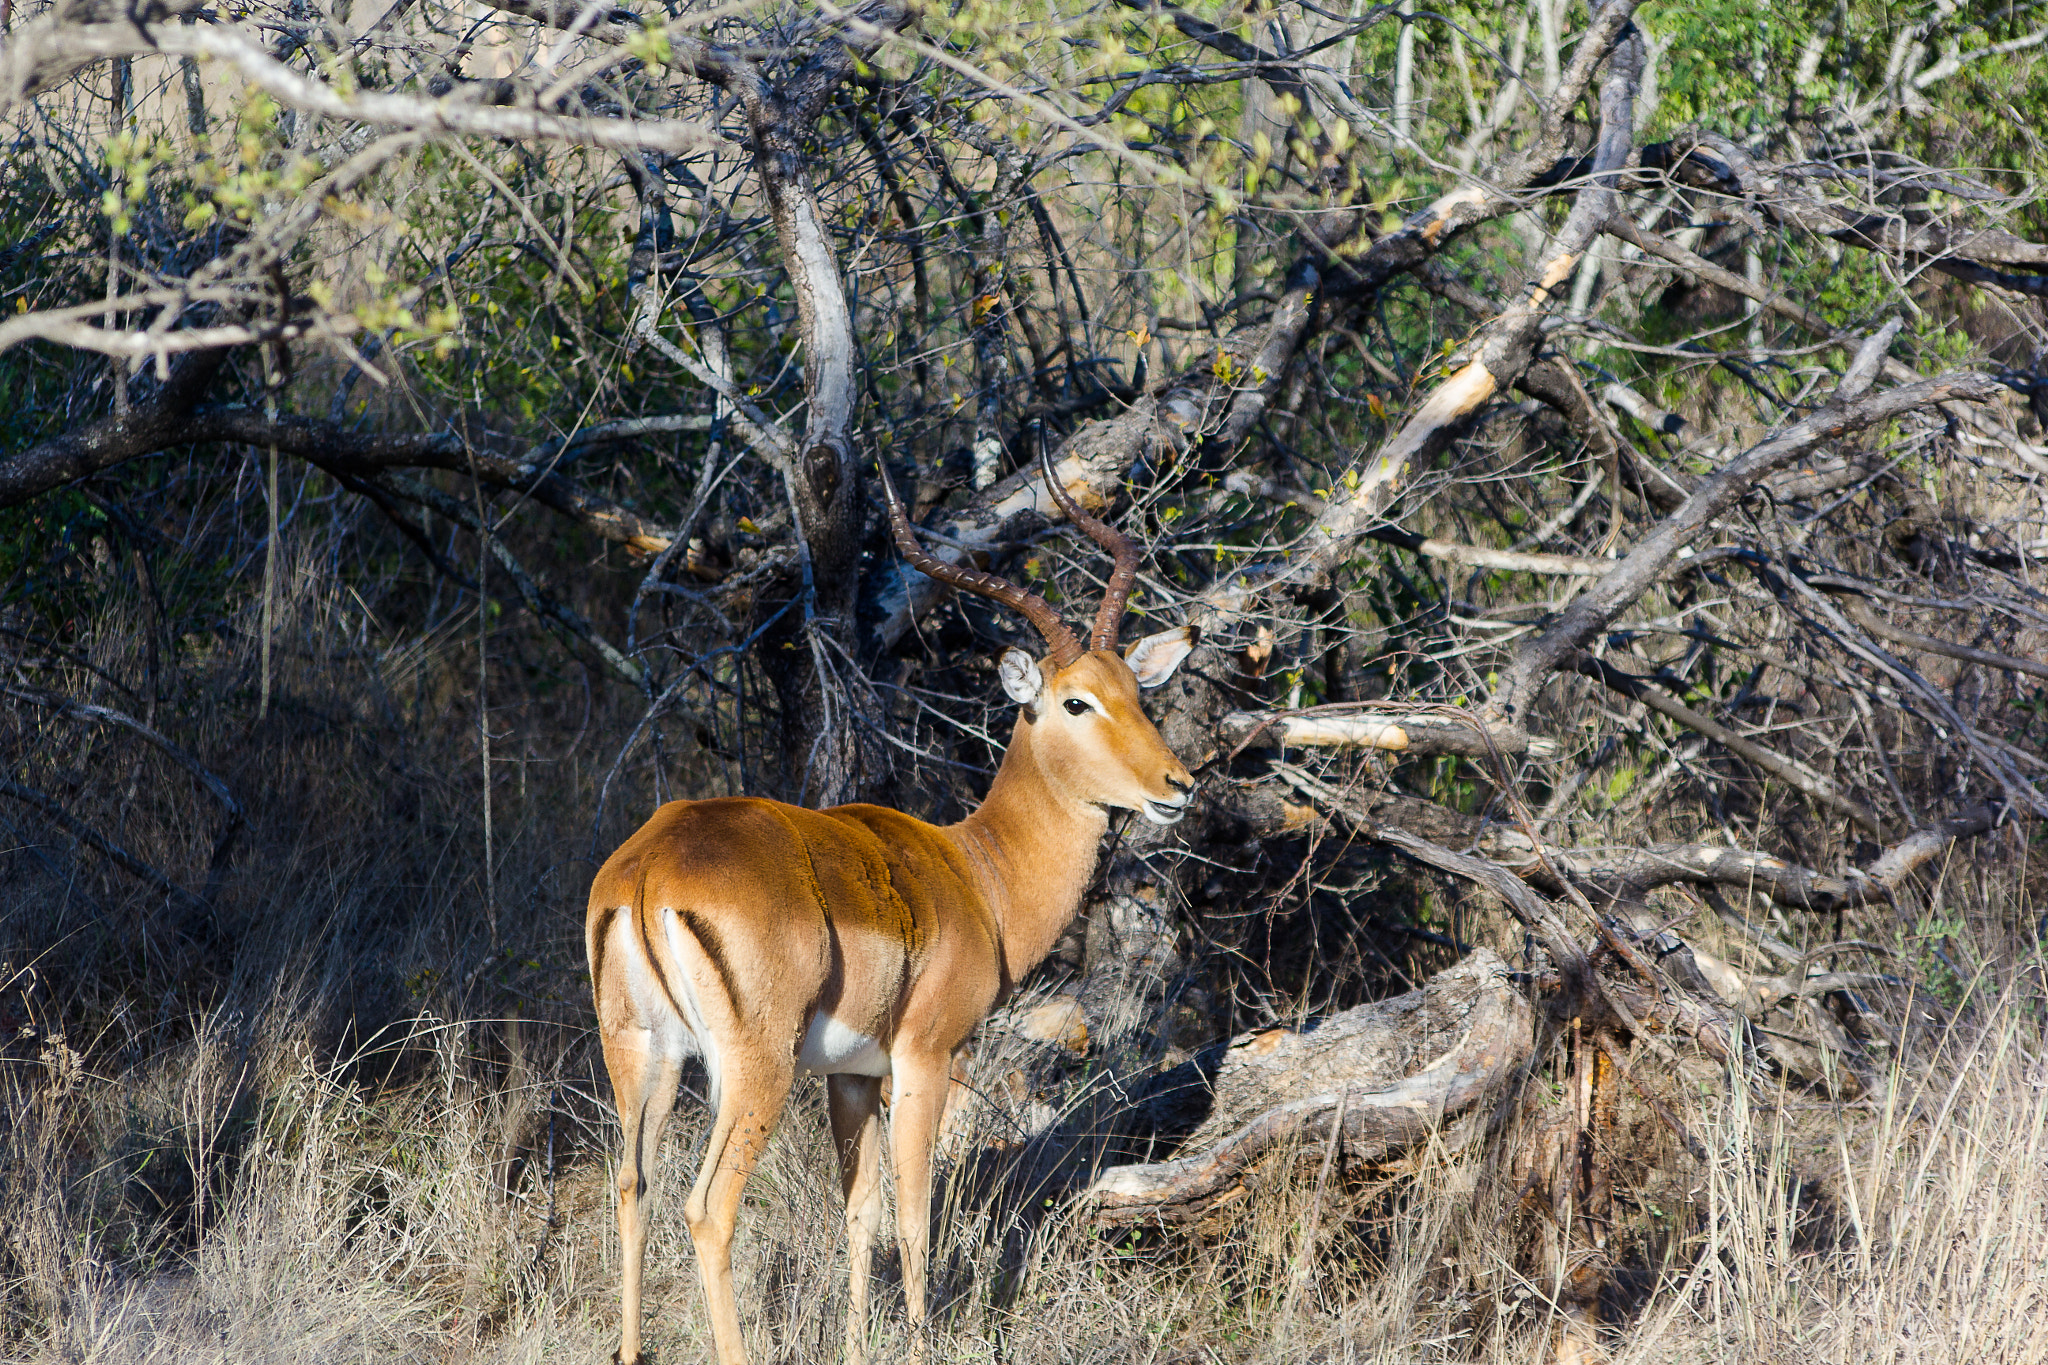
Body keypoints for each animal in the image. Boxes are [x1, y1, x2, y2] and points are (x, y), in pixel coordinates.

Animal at [586, 453, 1196, 1365]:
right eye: (1076, 701)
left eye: (1136, 690)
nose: (1177, 784)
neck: (978, 875)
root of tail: (651, 868)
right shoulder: (925, 1057)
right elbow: (914, 1215)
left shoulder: (852, 1074)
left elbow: (861, 1214)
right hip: (753, 1070)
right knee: (707, 1206)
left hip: (643, 1055)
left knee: (634, 1184)